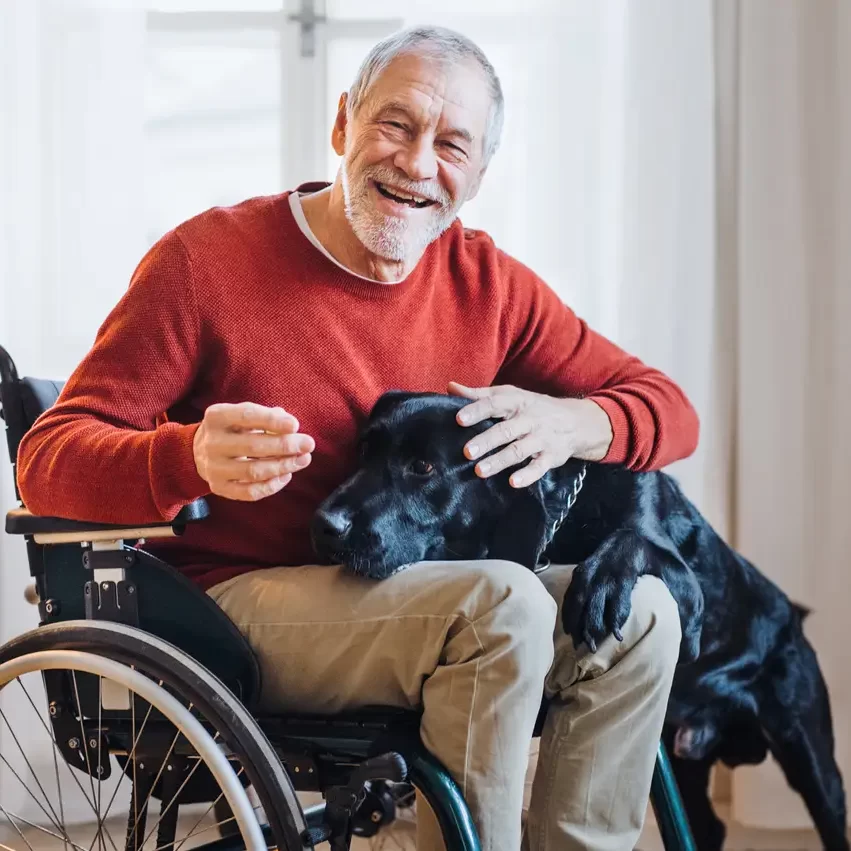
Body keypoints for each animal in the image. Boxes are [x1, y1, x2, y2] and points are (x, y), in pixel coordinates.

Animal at [314, 392, 851, 851]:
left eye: (422, 467)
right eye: (363, 453)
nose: (324, 524)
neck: (569, 520)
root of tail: (796, 618)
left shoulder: (687, 587)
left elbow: (631, 539)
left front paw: (598, 587)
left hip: (808, 754)